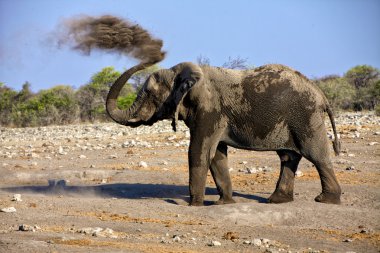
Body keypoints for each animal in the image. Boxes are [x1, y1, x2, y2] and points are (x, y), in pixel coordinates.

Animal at [106, 60, 342, 206]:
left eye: (149, 93)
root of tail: (321, 94)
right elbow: (216, 154)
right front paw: (223, 203)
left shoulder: (209, 109)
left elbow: (198, 151)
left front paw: (194, 205)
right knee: (288, 157)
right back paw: (276, 200)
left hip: (306, 117)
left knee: (316, 155)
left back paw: (325, 200)